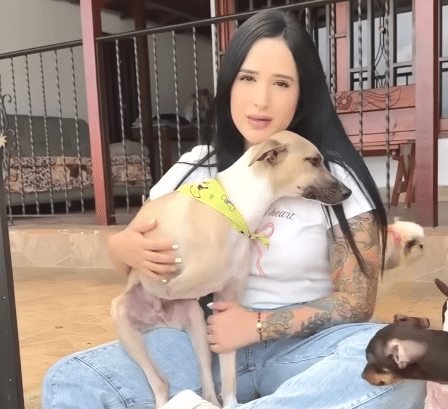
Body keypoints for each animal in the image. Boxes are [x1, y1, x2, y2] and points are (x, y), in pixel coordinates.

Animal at [110, 130, 352, 408]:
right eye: (313, 161)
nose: (348, 192)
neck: (236, 205)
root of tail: (159, 320)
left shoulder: (226, 305)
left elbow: (228, 379)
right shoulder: (175, 278)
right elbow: (169, 280)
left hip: (196, 324)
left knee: (205, 388)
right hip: (123, 317)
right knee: (160, 383)